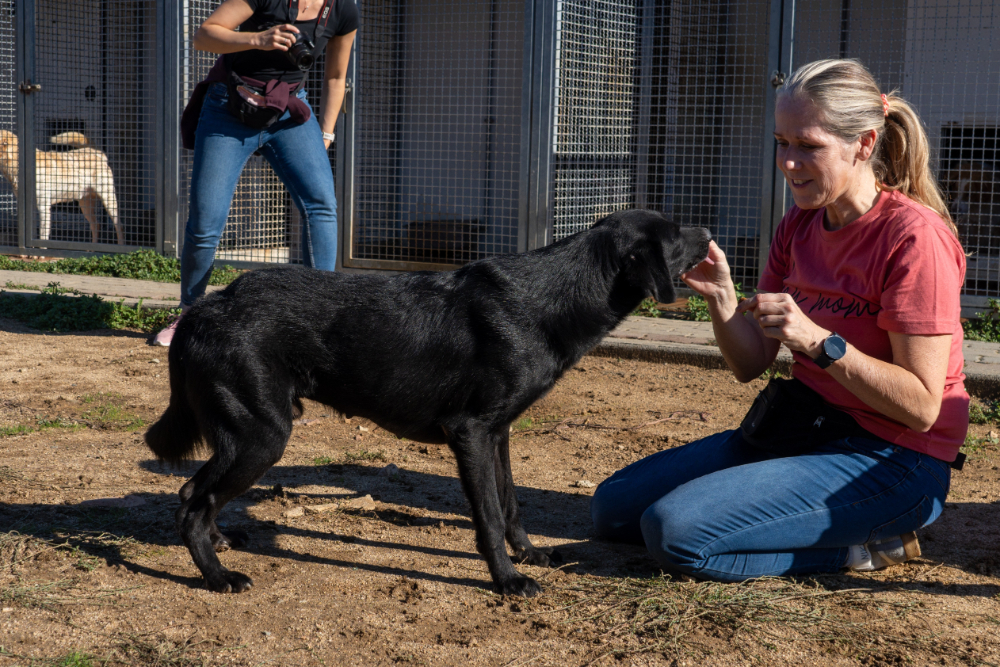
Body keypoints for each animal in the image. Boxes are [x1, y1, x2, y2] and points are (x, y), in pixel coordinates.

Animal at [145, 209, 711, 596]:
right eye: (675, 235)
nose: (708, 233)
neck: (555, 295)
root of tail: (204, 309)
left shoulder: (498, 434)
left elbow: (511, 504)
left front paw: (529, 555)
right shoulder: (470, 433)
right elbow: (488, 517)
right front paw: (506, 580)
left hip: (245, 438)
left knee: (195, 493)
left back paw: (218, 543)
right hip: (263, 437)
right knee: (193, 502)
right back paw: (218, 576)